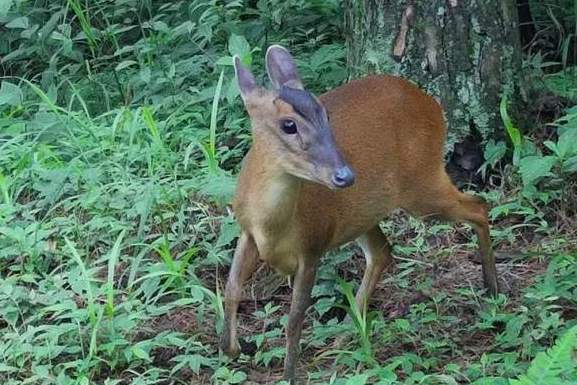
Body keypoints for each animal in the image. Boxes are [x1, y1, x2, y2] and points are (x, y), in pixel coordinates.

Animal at [218, 44, 498, 380]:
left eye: (324, 113)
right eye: (288, 124)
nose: (345, 176)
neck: (274, 225)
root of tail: (430, 102)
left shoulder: (313, 244)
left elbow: (294, 320)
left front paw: (288, 376)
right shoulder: (246, 230)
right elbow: (231, 289)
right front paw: (233, 349)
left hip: (422, 184)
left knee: (479, 206)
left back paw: (493, 288)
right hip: (365, 212)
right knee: (382, 251)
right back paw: (348, 332)